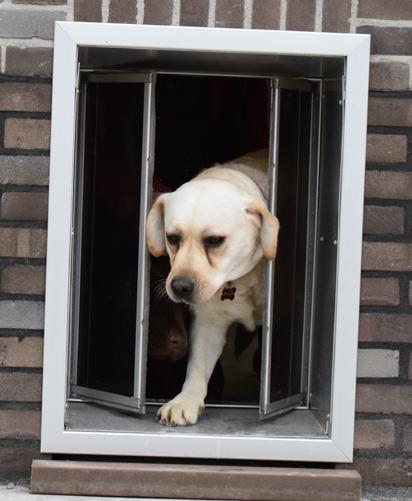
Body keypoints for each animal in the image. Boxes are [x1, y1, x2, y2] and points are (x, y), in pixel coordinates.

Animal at [146, 150, 278, 424]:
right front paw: (185, 401)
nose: (180, 286)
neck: (239, 281)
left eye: (214, 240)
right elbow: (197, 367)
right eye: (172, 238)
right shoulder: (208, 324)